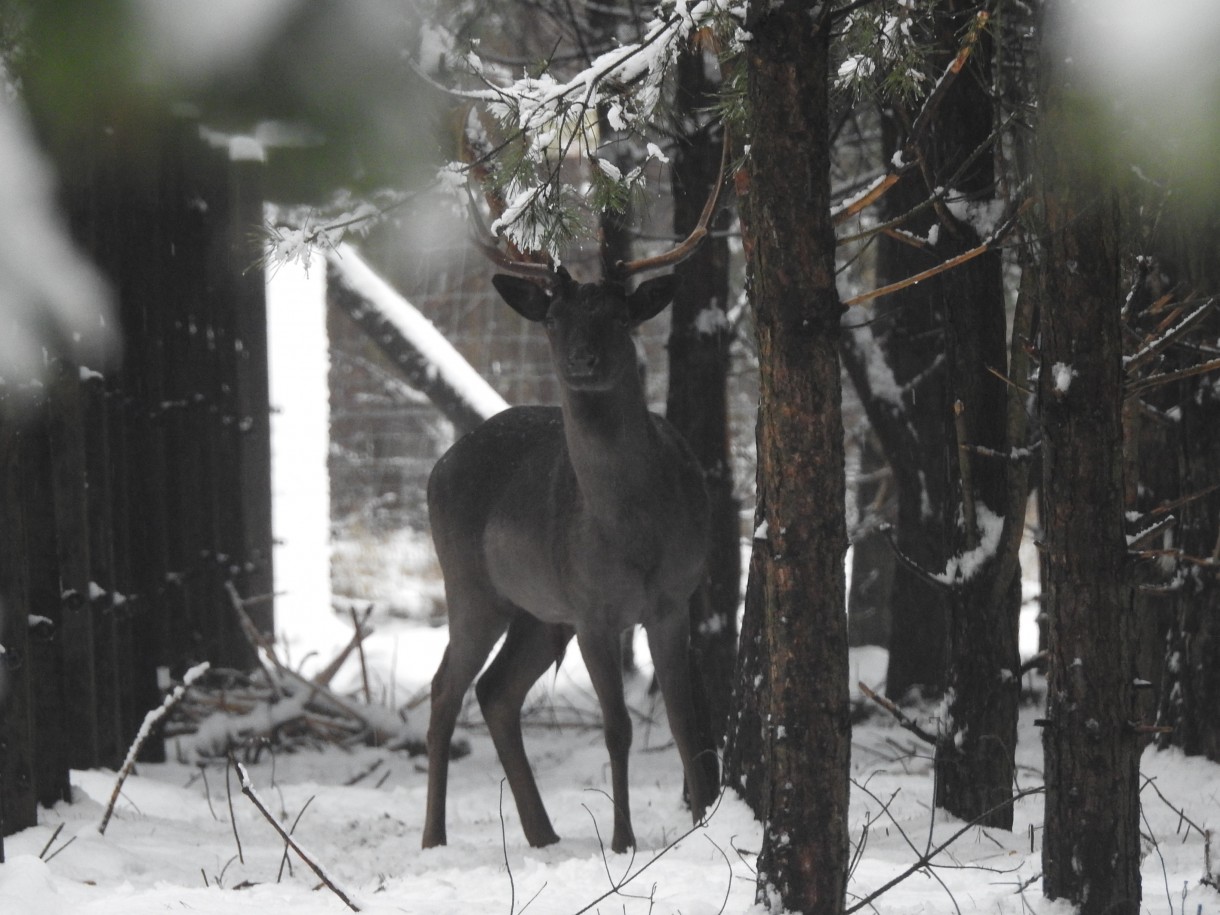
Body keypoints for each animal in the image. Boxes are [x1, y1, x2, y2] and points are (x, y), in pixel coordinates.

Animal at [422, 147, 722, 858]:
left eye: (618, 316)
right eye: (556, 319)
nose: (582, 359)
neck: (634, 533)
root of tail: (435, 470)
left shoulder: (674, 598)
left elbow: (685, 721)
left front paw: (703, 826)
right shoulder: (592, 608)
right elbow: (618, 728)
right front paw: (623, 842)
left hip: (539, 609)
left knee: (495, 690)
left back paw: (543, 834)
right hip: (471, 585)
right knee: (445, 689)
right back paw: (434, 839)